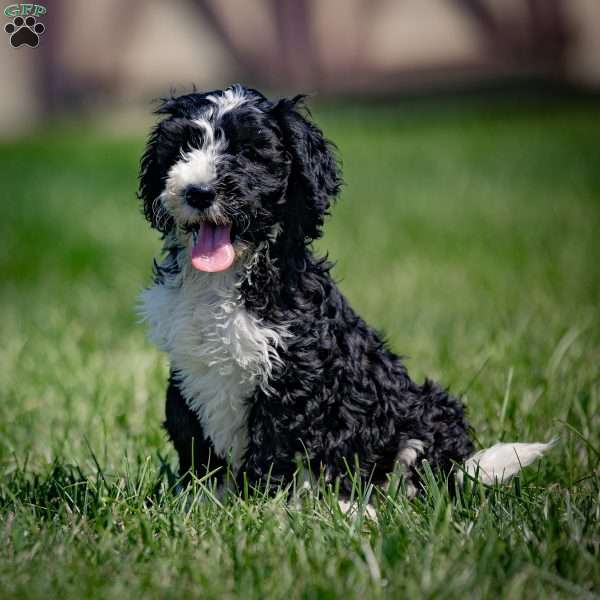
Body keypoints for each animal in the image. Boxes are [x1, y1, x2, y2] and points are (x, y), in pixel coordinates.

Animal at [138, 84, 556, 496]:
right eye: (184, 147)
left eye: (249, 153)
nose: (199, 192)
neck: (227, 277)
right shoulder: (188, 370)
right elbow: (193, 440)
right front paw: (199, 499)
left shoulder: (292, 378)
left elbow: (271, 450)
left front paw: (257, 504)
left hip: (425, 415)